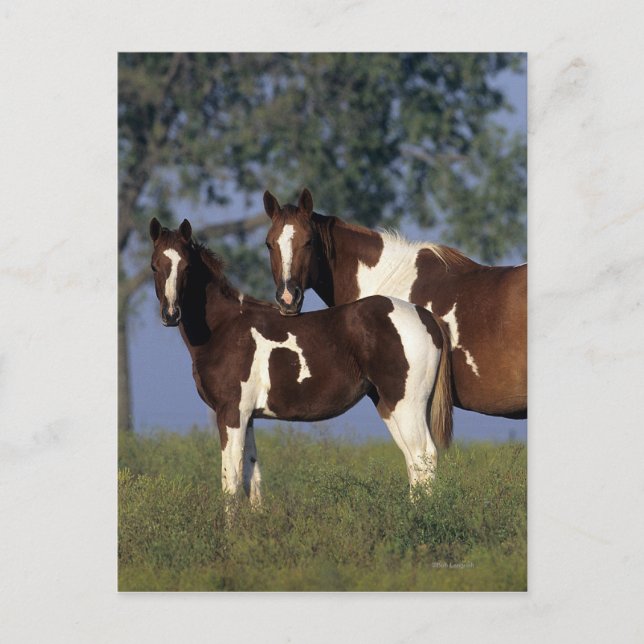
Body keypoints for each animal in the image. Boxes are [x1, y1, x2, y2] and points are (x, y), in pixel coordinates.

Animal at [149, 218, 453, 505]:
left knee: (424, 455)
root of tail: (426, 316)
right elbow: (251, 479)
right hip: (389, 405)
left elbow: (231, 482)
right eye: (154, 266)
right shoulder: (247, 417)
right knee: (413, 462)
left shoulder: (231, 413)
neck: (225, 327)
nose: (171, 314)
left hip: (407, 405)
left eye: (187, 266)